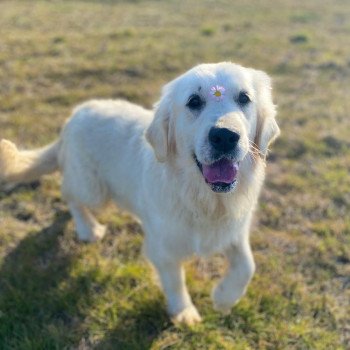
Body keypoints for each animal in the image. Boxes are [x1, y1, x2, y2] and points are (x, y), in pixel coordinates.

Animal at [0, 62, 278, 326]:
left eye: (244, 98)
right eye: (194, 101)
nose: (225, 136)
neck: (206, 198)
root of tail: (73, 117)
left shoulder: (233, 230)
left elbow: (247, 266)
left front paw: (223, 298)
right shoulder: (162, 247)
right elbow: (174, 280)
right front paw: (184, 312)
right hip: (93, 190)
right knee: (69, 194)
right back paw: (88, 228)